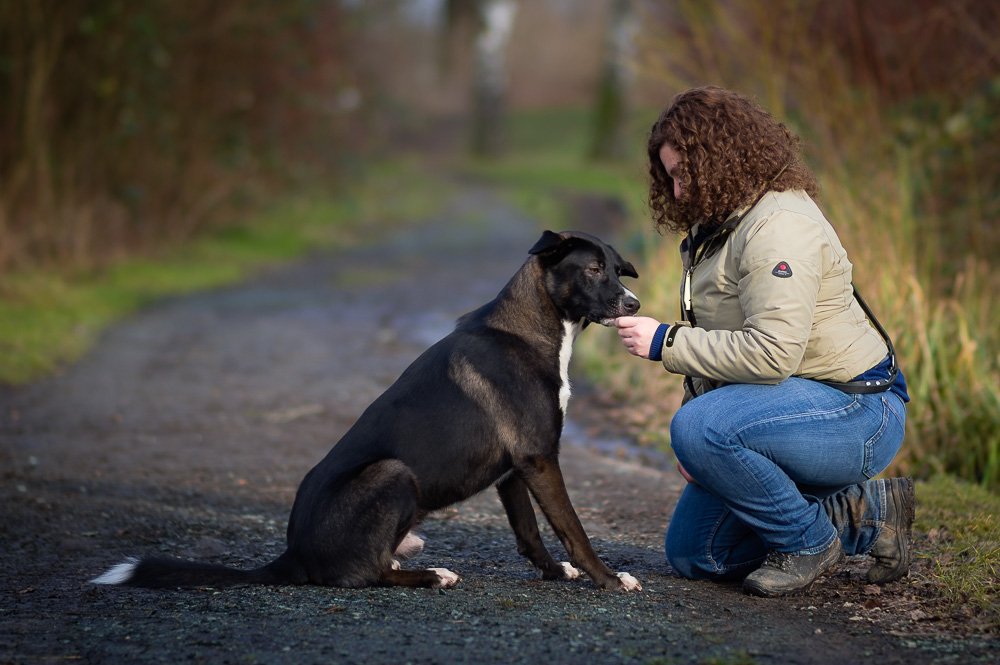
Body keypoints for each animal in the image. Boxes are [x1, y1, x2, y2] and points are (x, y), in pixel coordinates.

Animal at [92, 230, 640, 592]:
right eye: (593, 269)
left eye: (617, 269)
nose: (635, 303)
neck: (532, 328)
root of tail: (294, 554)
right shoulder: (540, 458)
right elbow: (573, 530)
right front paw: (609, 579)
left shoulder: (515, 469)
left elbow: (530, 534)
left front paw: (557, 573)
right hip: (393, 473)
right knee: (367, 575)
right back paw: (432, 576)